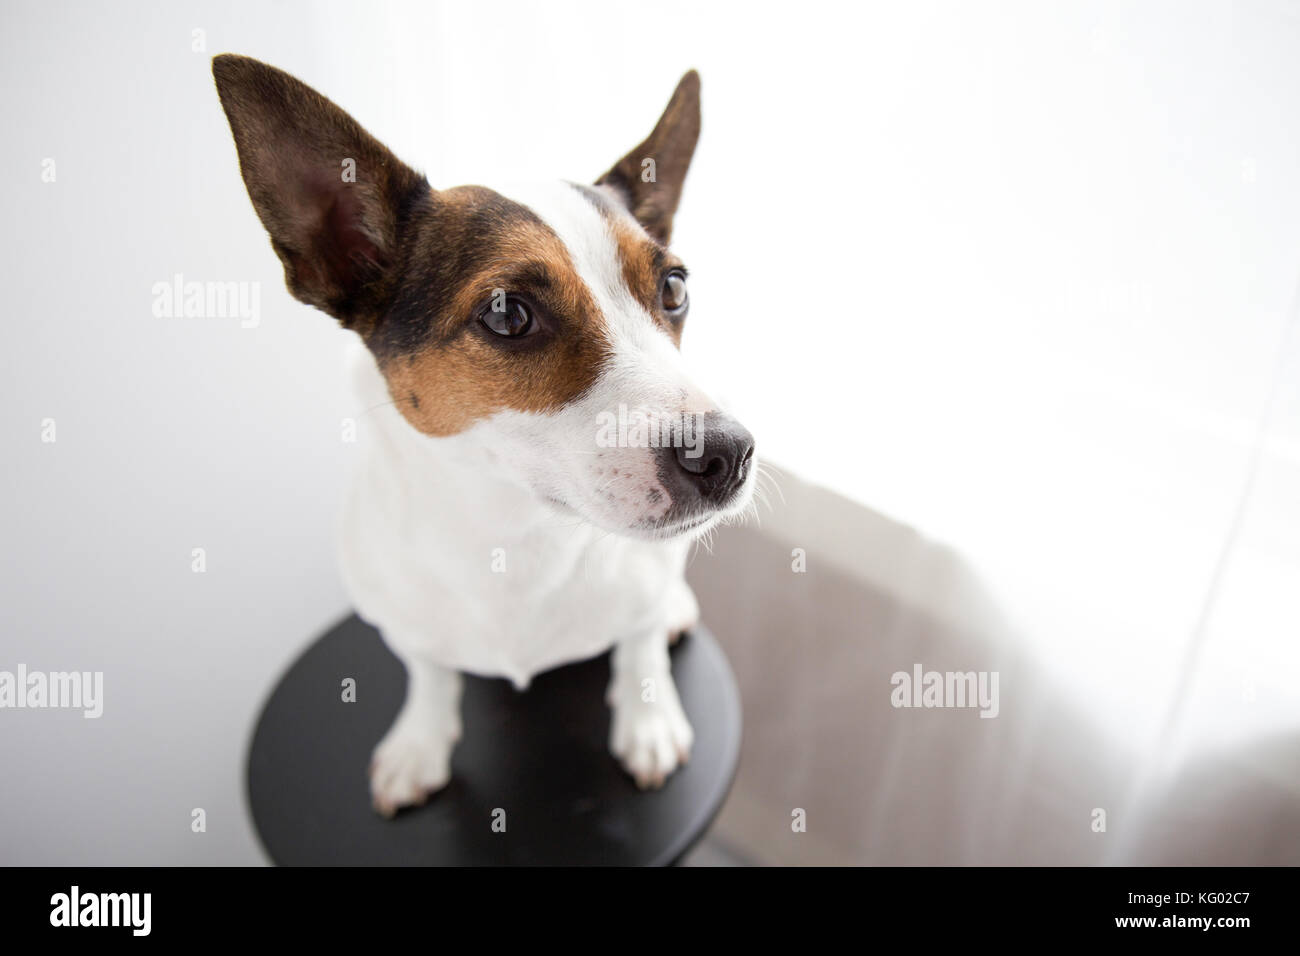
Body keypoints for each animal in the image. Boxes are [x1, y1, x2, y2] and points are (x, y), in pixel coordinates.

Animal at [213, 54, 759, 816]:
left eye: (674, 288)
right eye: (507, 314)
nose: (729, 452)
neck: (513, 532)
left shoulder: (644, 590)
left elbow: (641, 644)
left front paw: (648, 724)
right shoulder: (404, 621)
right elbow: (429, 672)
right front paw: (419, 742)